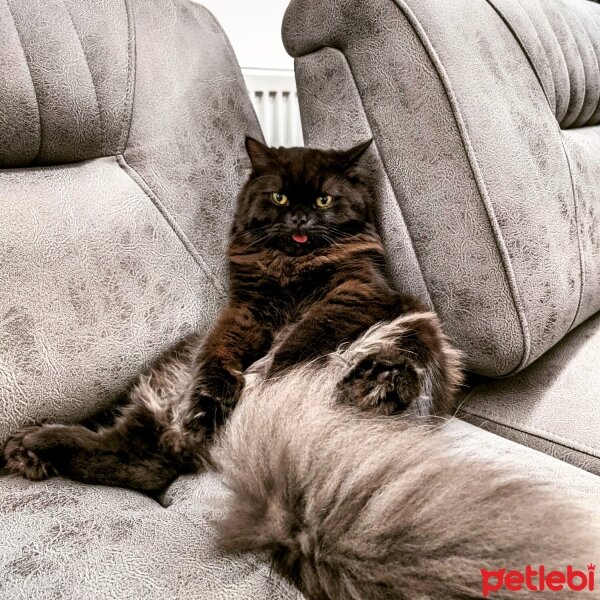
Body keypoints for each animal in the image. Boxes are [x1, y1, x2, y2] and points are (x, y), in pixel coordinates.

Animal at [2, 139, 460, 492]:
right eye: (279, 197)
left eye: (324, 199)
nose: (300, 218)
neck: (291, 265)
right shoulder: (246, 310)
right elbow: (220, 357)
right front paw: (211, 399)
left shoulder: (356, 292)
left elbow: (305, 335)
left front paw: (277, 367)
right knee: (124, 452)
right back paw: (29, 444)